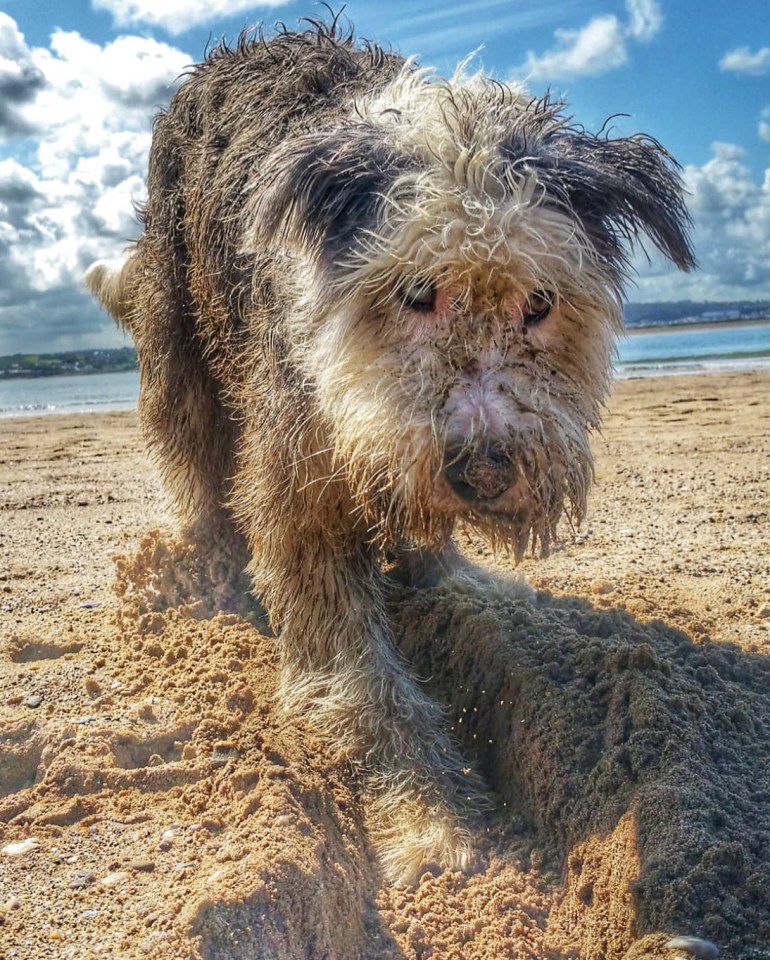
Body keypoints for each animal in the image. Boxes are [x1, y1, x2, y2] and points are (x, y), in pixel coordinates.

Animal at [85, 18, 696, 880]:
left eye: (540, 304)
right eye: (416, 293)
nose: (485, 466)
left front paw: (457, 579)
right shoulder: (299, 471)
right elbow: (357, 678)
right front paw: (430, 814)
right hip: (180, 326)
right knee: (190, 451)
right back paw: (201, 562)